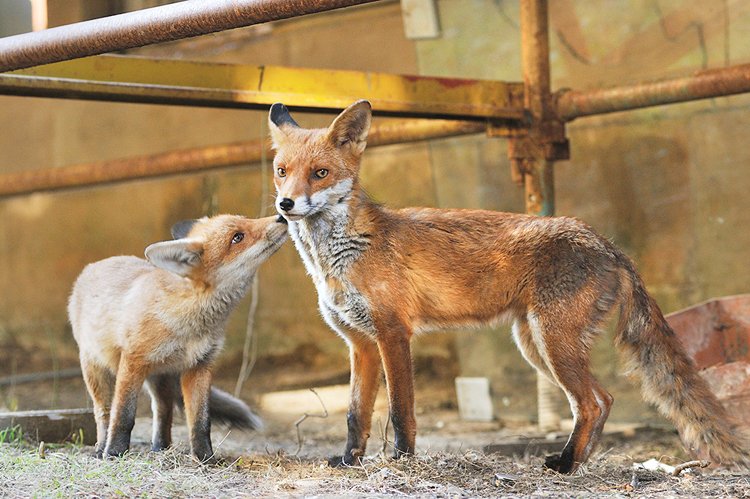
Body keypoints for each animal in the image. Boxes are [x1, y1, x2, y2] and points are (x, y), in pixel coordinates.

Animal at [68, 214, 288, 460]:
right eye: (237, 237)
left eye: (246, 219)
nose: (281, 216)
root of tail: (93, 265)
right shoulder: (133, 361)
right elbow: (123, 415)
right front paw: (115, 452)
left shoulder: (199, 365)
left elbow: (201, 422)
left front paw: (205, 458)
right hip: (96, 370)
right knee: (104, 412)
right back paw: (101, 447)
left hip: (161, 376)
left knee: (163, 410)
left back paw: (161, 447)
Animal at [268, 100, 748, 472]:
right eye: (281, 171)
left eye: (320, 173)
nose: (284, 204)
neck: (340, 256)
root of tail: (607, 242)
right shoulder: (360, 343)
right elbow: (356, 415)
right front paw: (349, 461)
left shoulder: (393, 333)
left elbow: (402, 411)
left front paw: (402, 460)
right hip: (535, 345)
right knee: (601, 400)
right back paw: (577, 462)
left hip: (552, 343)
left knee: (594, 401)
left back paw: (566, 464)